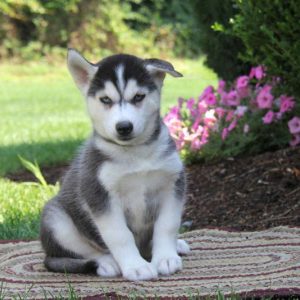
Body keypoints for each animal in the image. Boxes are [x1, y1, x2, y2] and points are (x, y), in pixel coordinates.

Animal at [40, 49, 190, 282]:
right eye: (105, 100)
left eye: (138, 97)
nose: (124, 127)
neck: (137, 155)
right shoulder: (100, 195)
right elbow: (119, 235)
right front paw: (136, 266)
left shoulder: (172, 185)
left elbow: (167, 225)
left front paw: (166, 257)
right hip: (56, 219)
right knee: (86, 251)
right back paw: (107, 262)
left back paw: (176, 245)